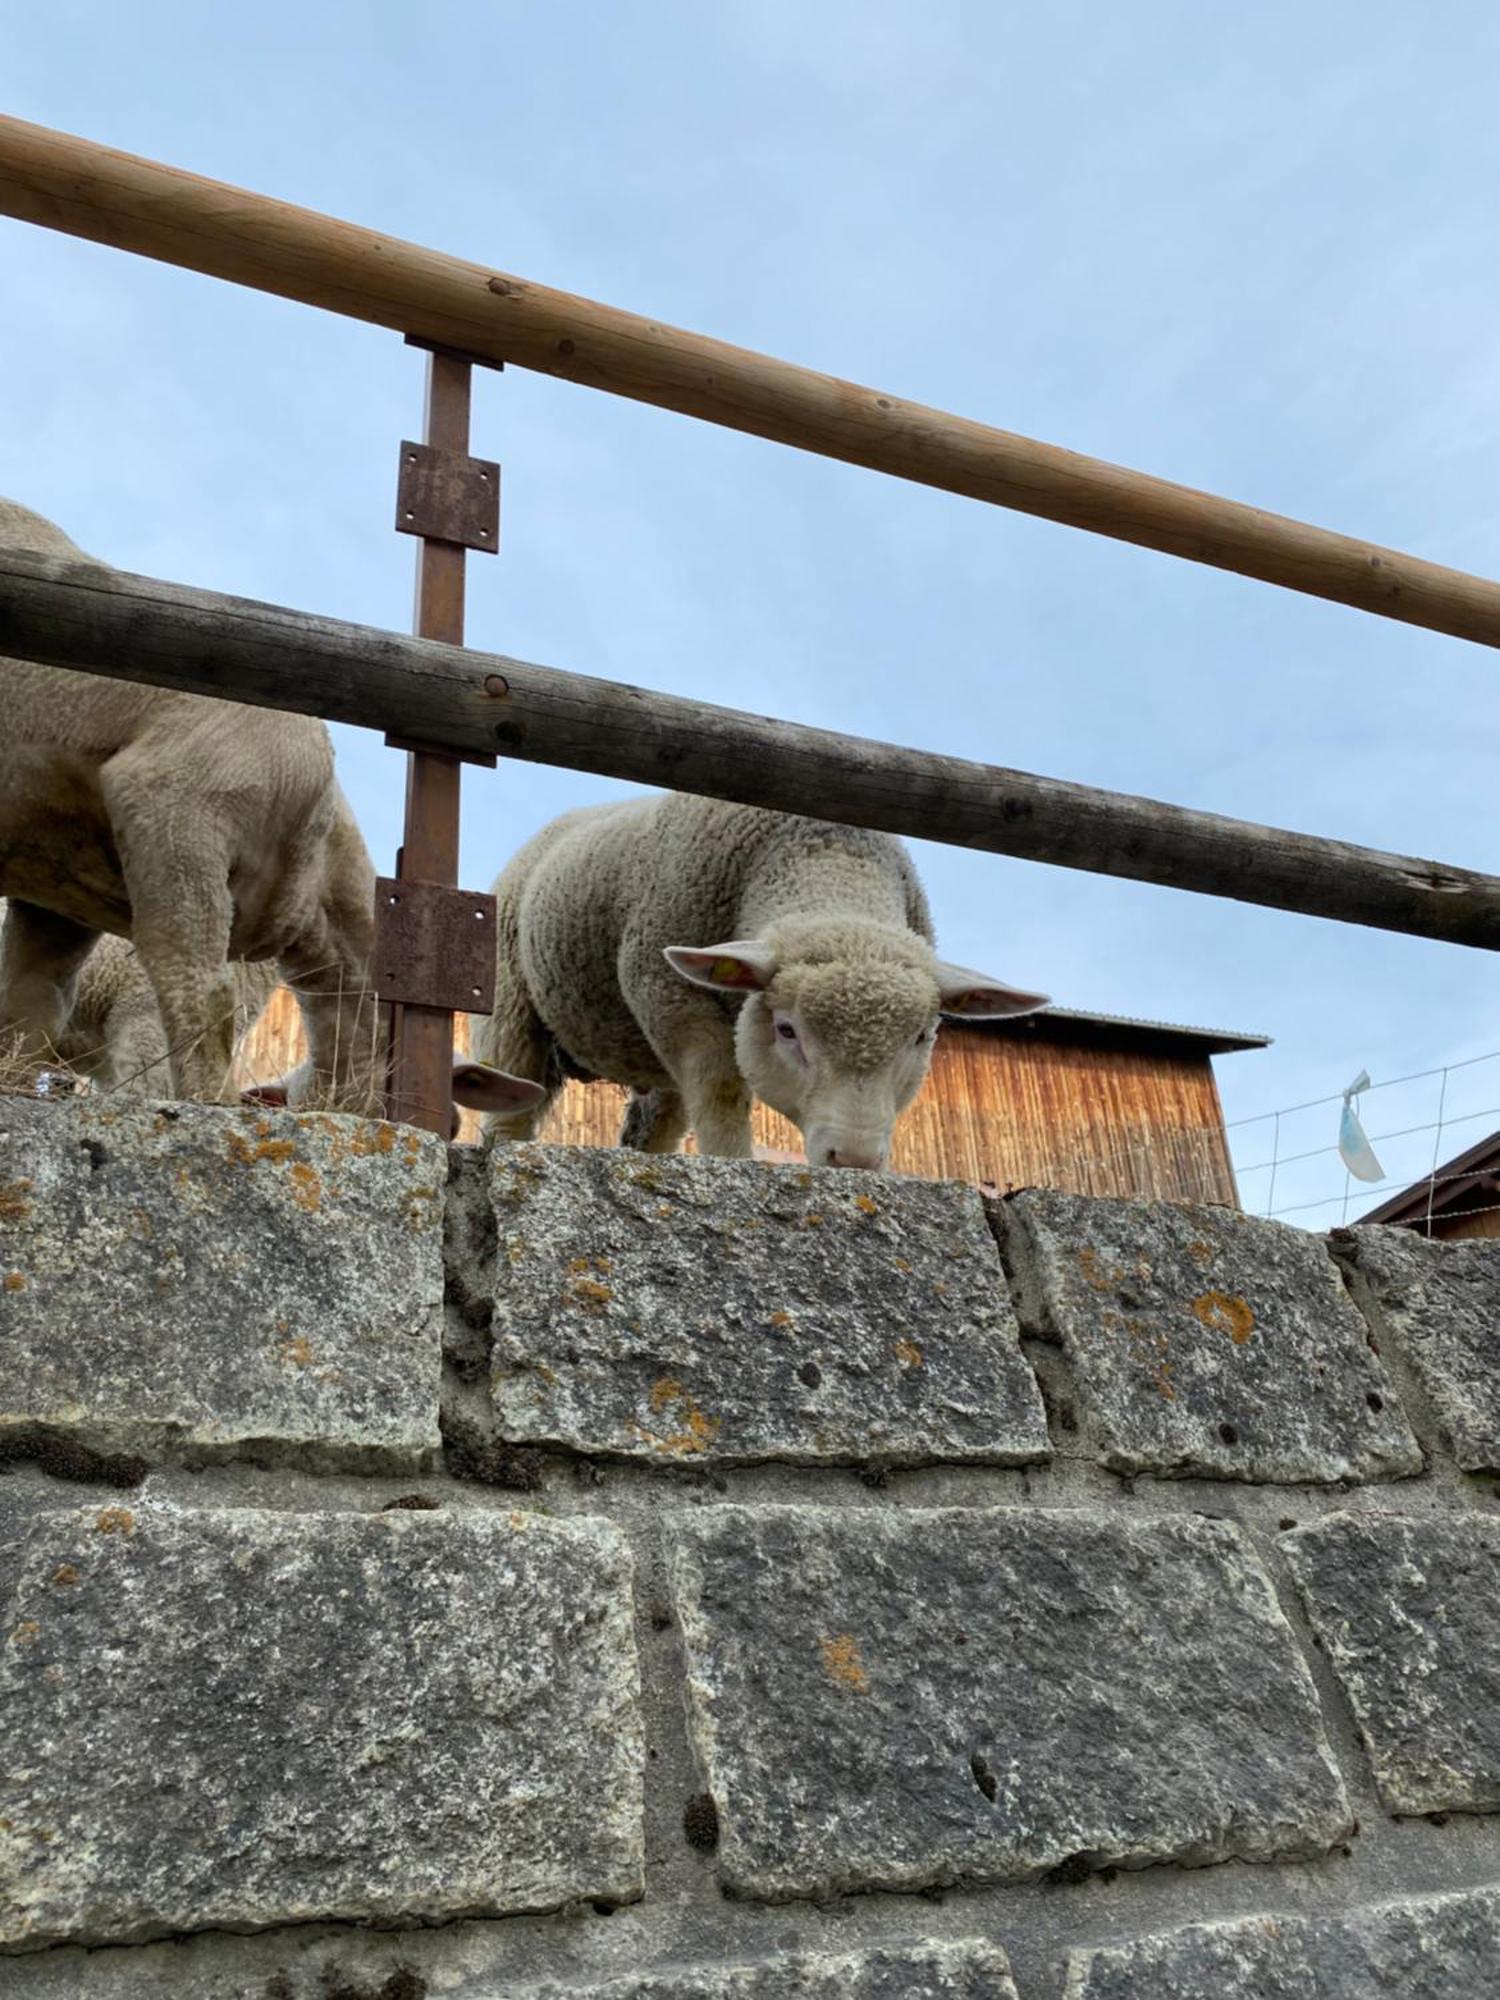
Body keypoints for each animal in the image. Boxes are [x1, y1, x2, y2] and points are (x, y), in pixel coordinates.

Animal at [476, 792, 1048, 1168]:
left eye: (922, 1037)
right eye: (787, 1030)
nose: (854, 1159)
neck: (826, 855)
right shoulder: (668, 993)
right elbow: (722, 1092)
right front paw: (733, 1164)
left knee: (654, 1124)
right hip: (510, 996)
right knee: (511, 1097)